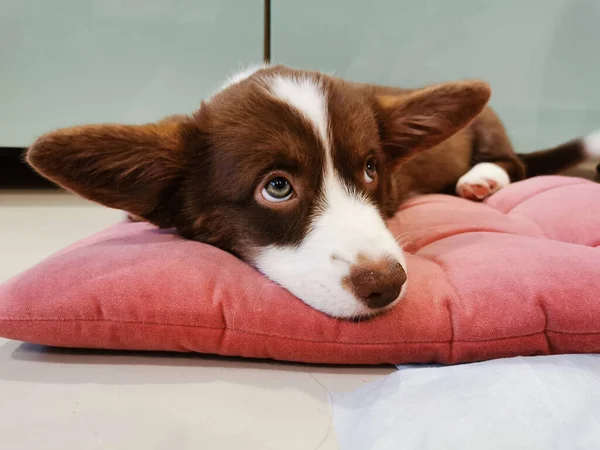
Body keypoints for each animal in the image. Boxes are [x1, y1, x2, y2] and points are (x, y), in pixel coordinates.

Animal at [25, 66, 600, 320]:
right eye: (277, 187)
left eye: (370, 169)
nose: (388, 286)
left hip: (490, 130)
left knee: (514, 161)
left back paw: (480, 179)